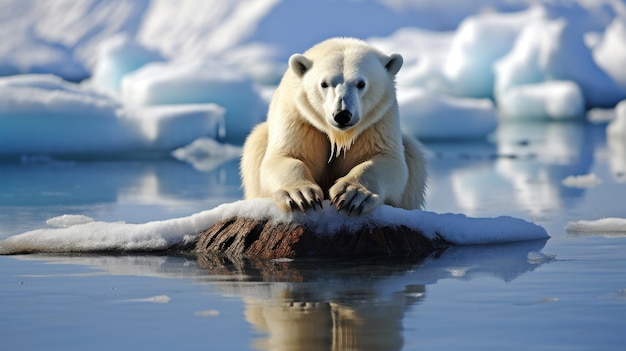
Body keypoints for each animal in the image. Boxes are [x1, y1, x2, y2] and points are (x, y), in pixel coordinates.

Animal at [239, 37, 424, 214]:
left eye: (361, 83)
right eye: (324, 84)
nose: (342, 115)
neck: (338, 135)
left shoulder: (378, 122)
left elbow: (387, 160)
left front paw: (352, 194)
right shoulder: (299, 118)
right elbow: (285, 156)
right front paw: (300, 195)